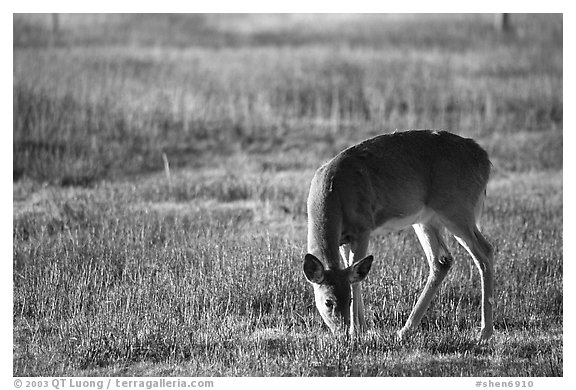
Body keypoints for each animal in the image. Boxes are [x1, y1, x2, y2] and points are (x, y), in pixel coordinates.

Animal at [302, 129, 496, 342]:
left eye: (349, 299)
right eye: (328, 302)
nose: (342, 331)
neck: (336, 192)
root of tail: (484, 159)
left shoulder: (363, 228)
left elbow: (356, 275)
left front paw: (357, 330)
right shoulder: (345, 239)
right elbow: (352, 271)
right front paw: (363, 328)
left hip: (457, 209)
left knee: (485, 252)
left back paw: (485, 332)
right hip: (427, 219)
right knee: (442, 261)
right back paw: (405, 330)